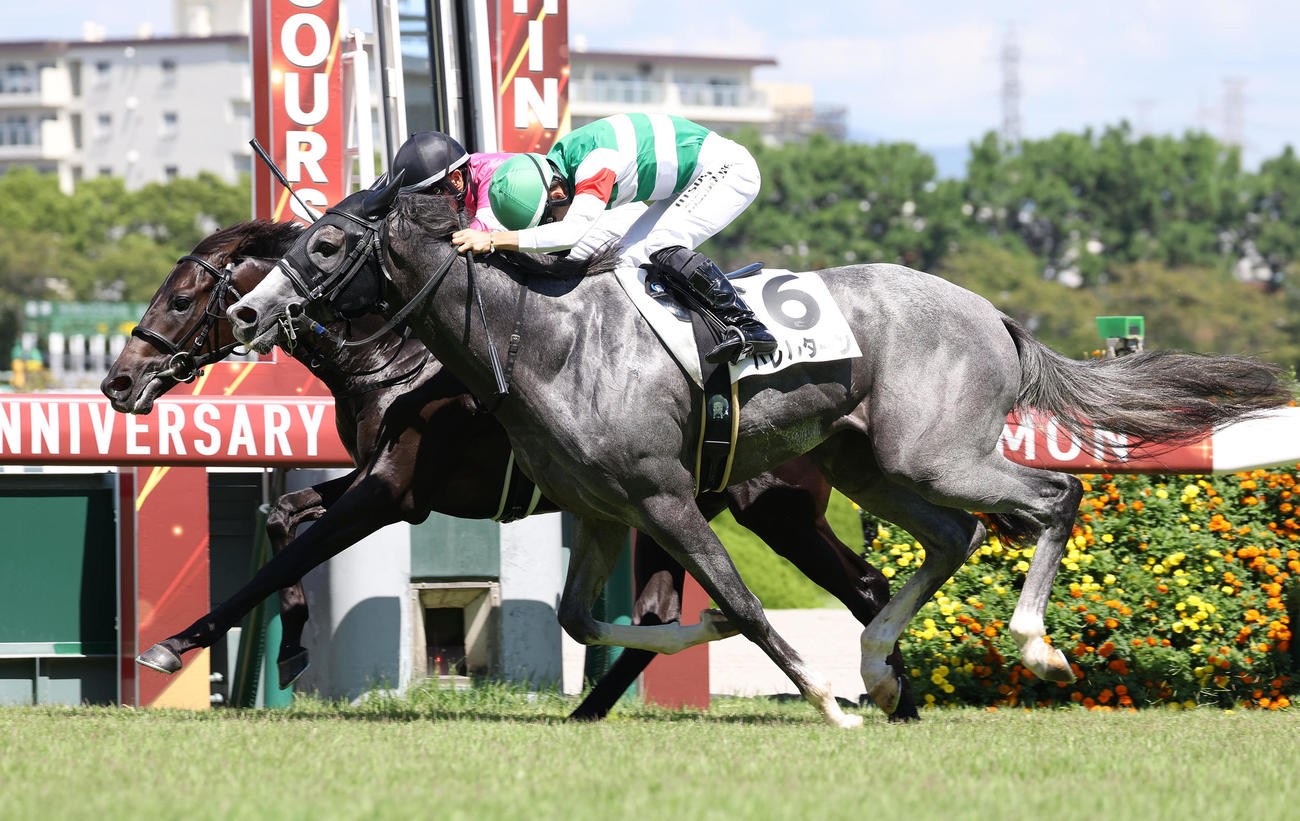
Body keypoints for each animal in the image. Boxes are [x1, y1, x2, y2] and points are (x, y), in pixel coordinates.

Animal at [104, 219, 920, 721]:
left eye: (181, 297)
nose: (118, 382)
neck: (392, 354)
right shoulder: (385, 480)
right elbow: (281, 517)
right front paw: (297, 640)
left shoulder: (393, 490)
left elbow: (286, 558)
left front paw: (174, 642)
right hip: (687, 504)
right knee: (688, 608)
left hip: (765, 507)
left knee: (859, 586)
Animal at [225, 179, 1292, 727]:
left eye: (327, 248)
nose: (243, 313)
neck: (543, 338)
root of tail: (992, 311)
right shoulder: (607, 508)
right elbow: (586, 618)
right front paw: (735, 655)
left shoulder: (664, 497)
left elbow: (735, 600)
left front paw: (821, 698)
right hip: (875, 466)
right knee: (949, 538)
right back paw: (880, 666)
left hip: (933, 453)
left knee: (1048, 499)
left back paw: (1031, 645)